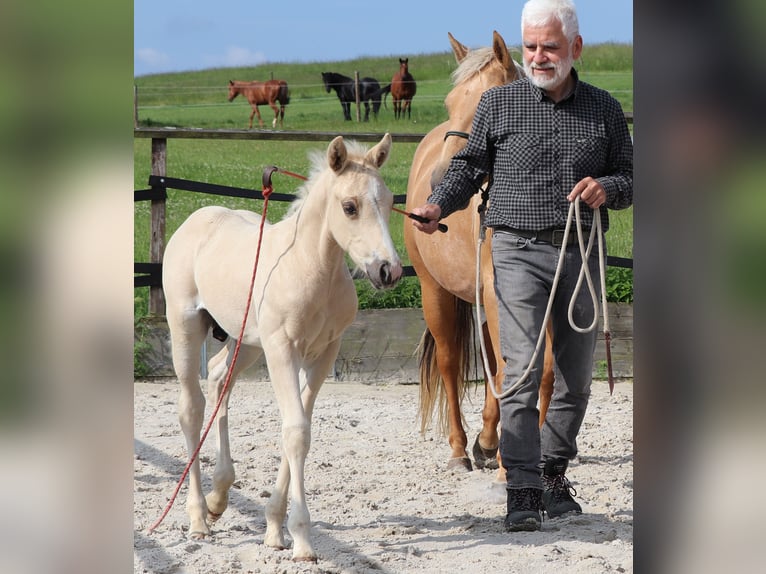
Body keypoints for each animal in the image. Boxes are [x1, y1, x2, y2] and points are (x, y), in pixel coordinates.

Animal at [162, 133, 402, 562]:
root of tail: (195, 220)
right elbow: (295, 432)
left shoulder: (322, 354)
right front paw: (302, 540)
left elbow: (299, 428)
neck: (310, 267)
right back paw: (198, 518)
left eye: (390, 201)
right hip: (187, 329)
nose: (389, 271)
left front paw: (275, 527)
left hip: (246, 342)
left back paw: (219, 495)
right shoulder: (282, 350)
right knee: (191, 408)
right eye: (350, 207)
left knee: (220, 377)